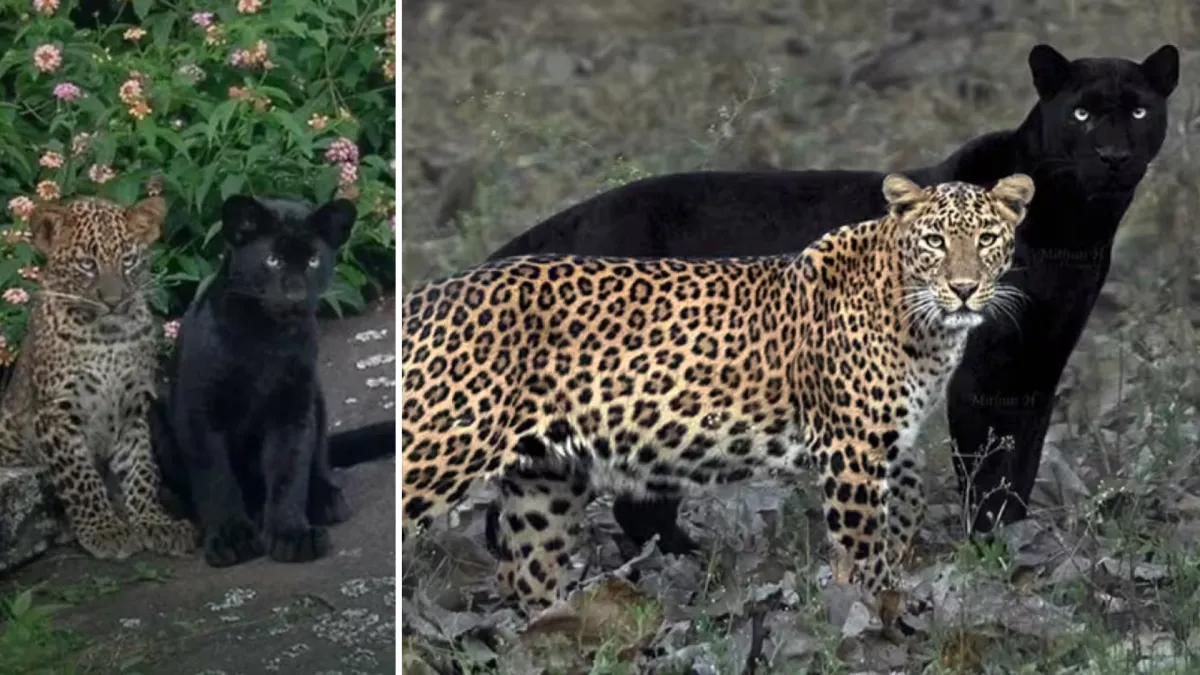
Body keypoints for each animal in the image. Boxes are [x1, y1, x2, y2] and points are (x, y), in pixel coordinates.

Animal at [0, 196, 198, 561]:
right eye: (87, 264)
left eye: (128, 260)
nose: (115, 301)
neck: (108, 340)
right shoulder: (57, 413)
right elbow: (81, 478)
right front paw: (105, 531)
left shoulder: (133, 408)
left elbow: (142, 468)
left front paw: (155, 522)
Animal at [400, 173, 1034, 623]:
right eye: (935, 241)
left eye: (986, 240)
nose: (963, 288)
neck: (925, 326)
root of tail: (428, 294)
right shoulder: (851, 449)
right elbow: (864, 546)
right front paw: (877, 611)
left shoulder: (892, 443)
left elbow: (902, 517)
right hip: (438, 452)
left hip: (545, 479)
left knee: (525, 573)